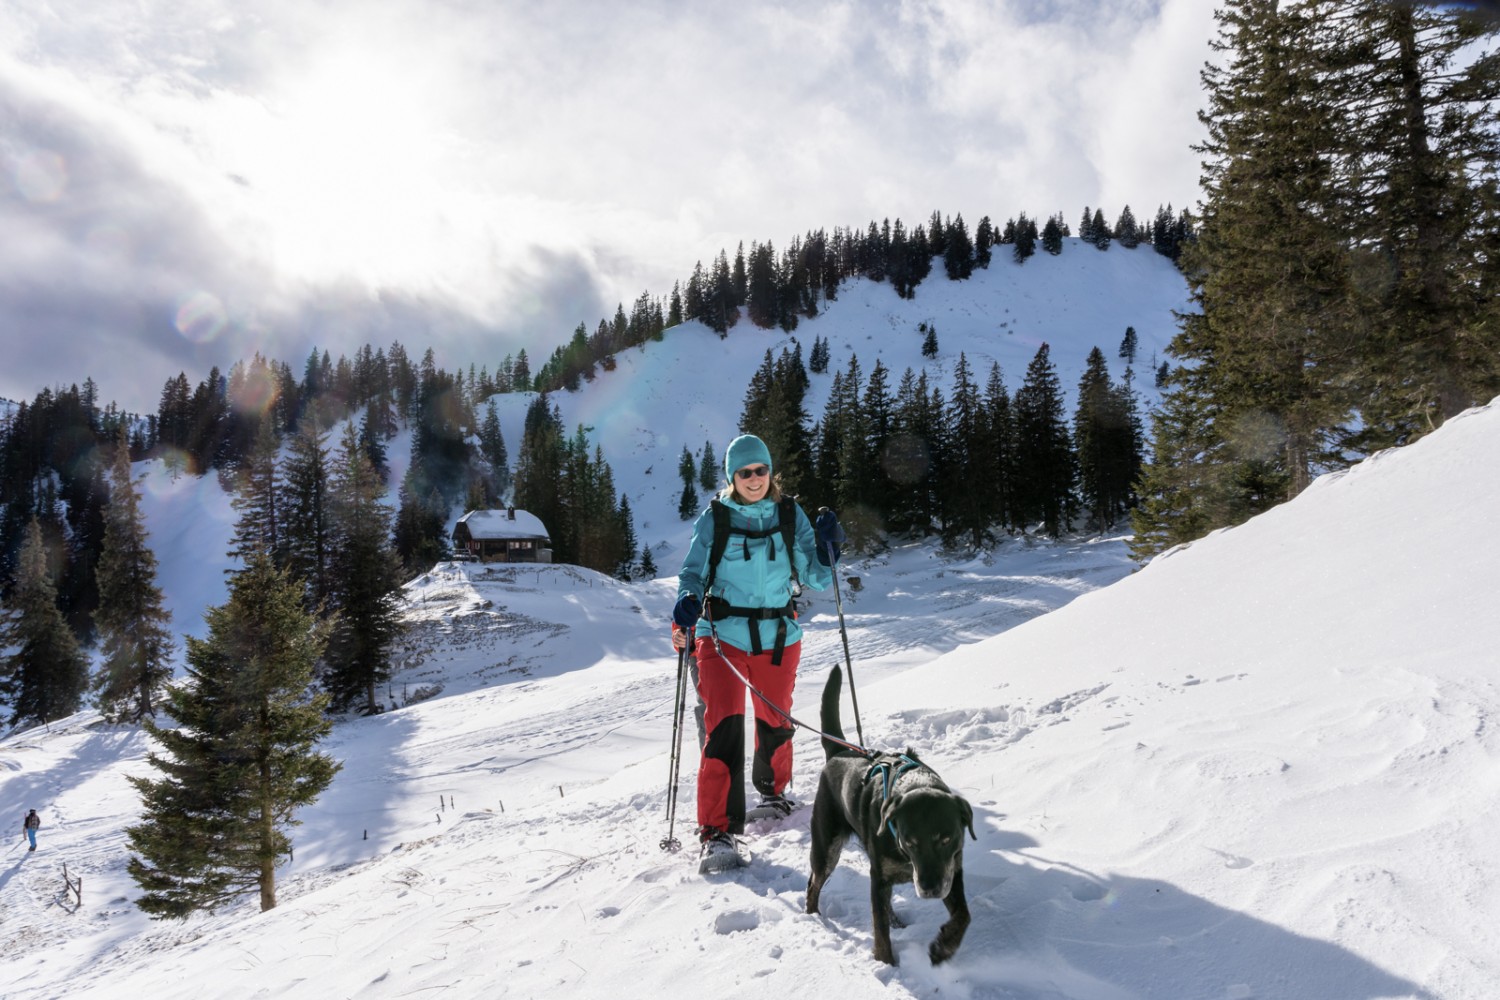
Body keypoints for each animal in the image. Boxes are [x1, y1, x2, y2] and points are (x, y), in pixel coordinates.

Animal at [804, 668, 978, 965]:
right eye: (910, 842)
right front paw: (886, 963)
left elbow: (963, 915)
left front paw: (944, 946)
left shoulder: (951, 869)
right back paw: (813, 916)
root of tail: (838, 753)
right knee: (813, 883)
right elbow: (879, 928)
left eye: (946, 839)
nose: (929, 889)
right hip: (827, 845)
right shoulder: (882, 875)